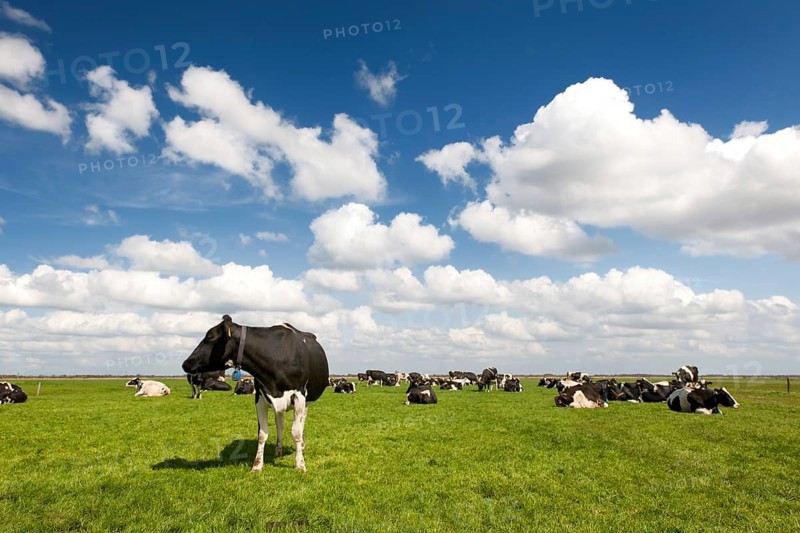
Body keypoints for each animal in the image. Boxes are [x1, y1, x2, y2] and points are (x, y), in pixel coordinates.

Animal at [182, 315, 329, 473]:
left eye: (209, 337)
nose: (185, 363)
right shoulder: (260, 398)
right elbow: (262, 434)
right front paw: (257, 465)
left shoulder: (299, 396)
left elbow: (296, 432)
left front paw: (300, 465)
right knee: (280, 424)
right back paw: (278, 450)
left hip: (305, 402)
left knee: (301, 424)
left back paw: (301, 445)